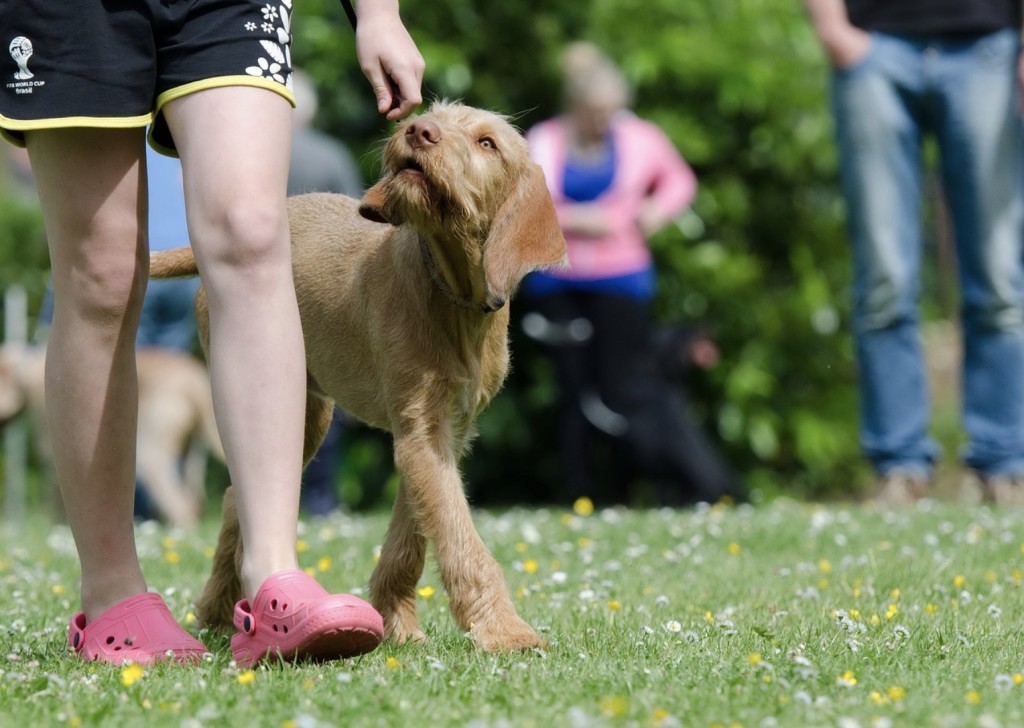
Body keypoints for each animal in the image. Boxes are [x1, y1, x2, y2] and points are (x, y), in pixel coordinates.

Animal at [0, 344, 224, 528]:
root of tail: (193, 380)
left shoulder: (53, 457)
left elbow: (56, 501)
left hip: (151, 455)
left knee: (180, 506)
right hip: (192, 455)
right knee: (192, 501)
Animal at [149, 100, 569, 651]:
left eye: (486, 143)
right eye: (435, 115)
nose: (418, 129)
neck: (452, 294)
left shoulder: (441, 434)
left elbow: (413, 534)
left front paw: (396, 621)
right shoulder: (421, 432)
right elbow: (459, 535)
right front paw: (504, 630)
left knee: (235, 499)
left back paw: (219, 610)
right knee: (235, 497)